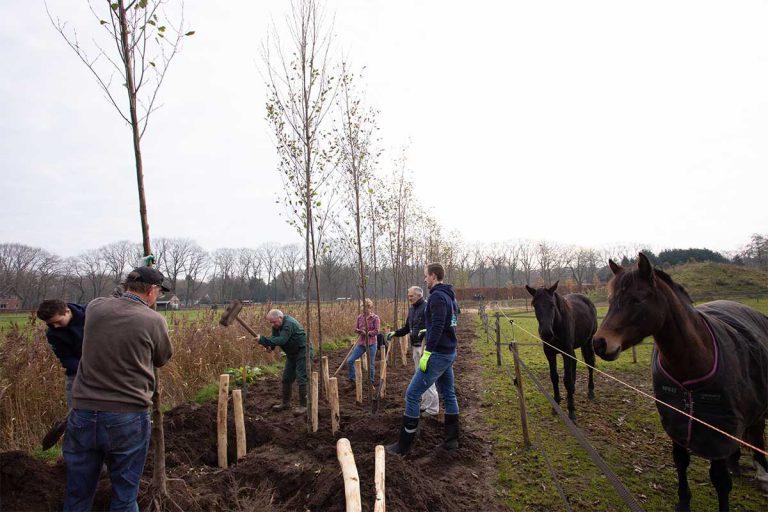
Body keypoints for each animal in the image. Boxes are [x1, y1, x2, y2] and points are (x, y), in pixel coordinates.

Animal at [524, 280, 596, 420]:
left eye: (552, 304)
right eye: (534, 305)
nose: (546, 333)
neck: (557, 325)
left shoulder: (566, 352)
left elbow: (567, 380)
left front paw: (571, 411)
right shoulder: (549, 352)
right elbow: (554, 376)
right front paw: (556, 403)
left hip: (588, 342)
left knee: (590, 364)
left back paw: (590, 391)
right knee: (575, 362)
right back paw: (571, 392)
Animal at [592, 254, 768, 510]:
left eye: (637, 299)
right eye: (611, 299)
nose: (599, 343)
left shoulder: (715, 430)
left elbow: (720, 481)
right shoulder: (676, 420)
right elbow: (681, 462)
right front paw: (683, 502)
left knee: (757, 432)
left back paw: (762, 472)